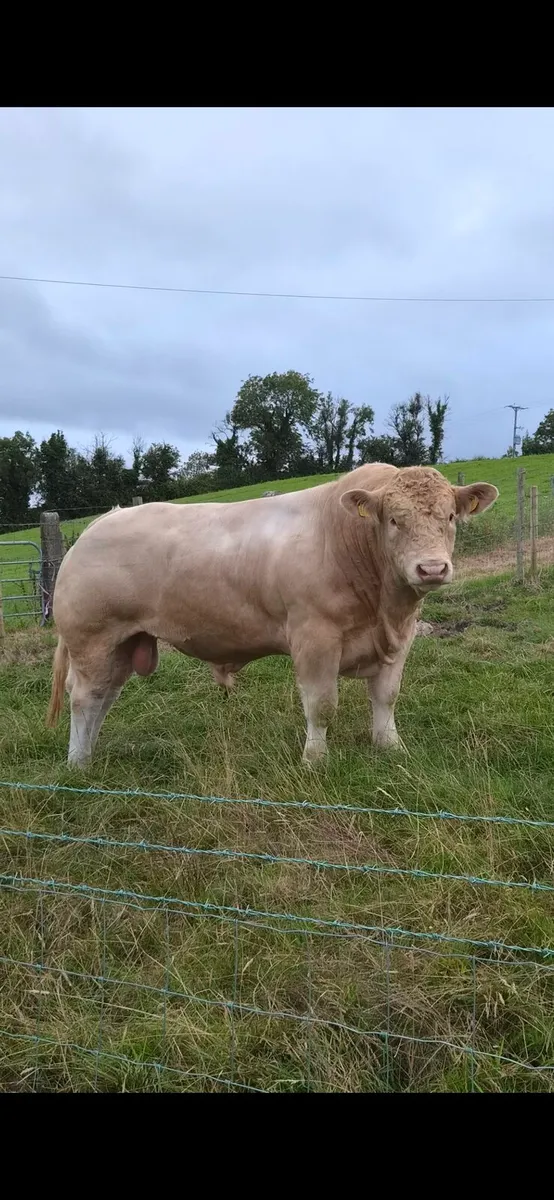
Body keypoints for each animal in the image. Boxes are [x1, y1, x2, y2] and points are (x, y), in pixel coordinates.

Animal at [46, 463, 498, 767]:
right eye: (393, 519)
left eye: (451, 517)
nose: (432, 569)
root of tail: (99, 523)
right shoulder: (314, 637)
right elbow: (321, 704)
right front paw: (315, 759)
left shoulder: (399, 639)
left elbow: (386, 696)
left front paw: (390, 746)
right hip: (92, 639)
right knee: (85, 698)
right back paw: (78, 763)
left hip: (123, 642)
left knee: (105, 696)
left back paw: (90, 752)